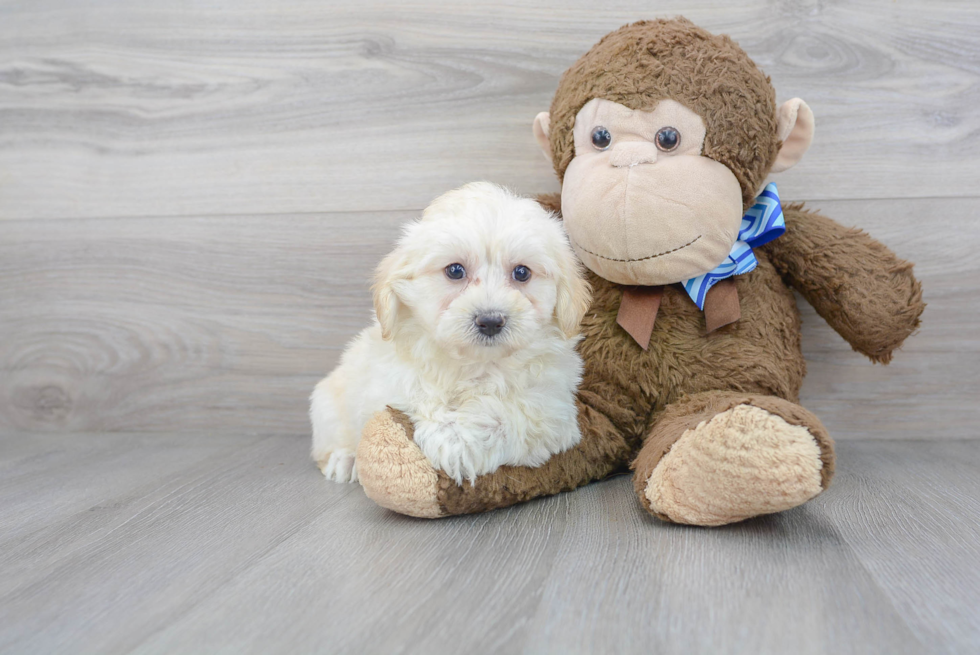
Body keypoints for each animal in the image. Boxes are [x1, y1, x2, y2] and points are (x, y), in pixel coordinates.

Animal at [312, 182, 588, 484]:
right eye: (455, 271)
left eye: (522, 273)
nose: (490, 321)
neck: (478, 365)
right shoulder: (390, 379)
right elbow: (417, 396)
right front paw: (443, 428)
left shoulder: (552, 406)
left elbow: (508, 413)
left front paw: (454, 440)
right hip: (327, 404)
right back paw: (346, 459)